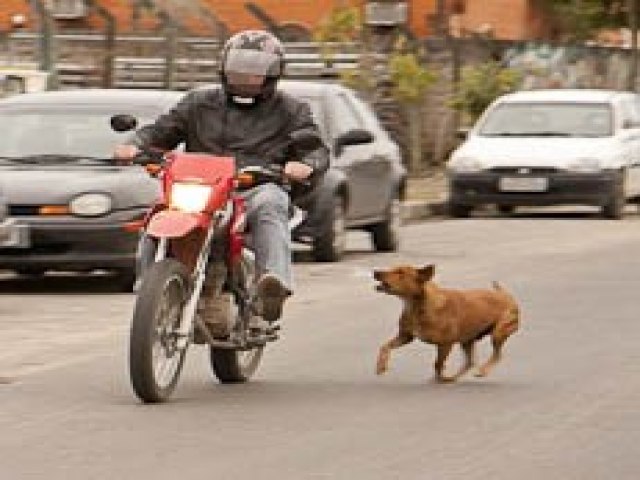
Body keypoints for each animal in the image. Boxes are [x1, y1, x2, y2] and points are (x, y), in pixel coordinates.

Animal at [372, 262, 516, 382]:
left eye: (400, 272)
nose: (376, 272)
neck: (415, 306)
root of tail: (508, 296)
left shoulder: (445, 344)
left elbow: (438, 363)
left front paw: (440, 377)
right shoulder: (405, 337)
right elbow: (384, 346)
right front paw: (380, 366)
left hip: (498, 332)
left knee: (497, 355)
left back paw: (482, 371)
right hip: (467, 340)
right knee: (469, 362)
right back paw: (453, 378)